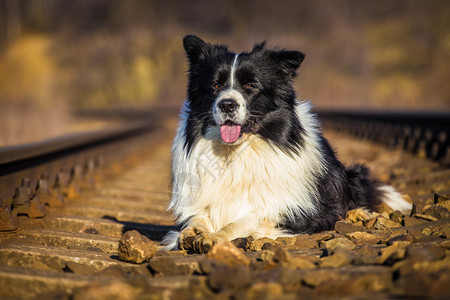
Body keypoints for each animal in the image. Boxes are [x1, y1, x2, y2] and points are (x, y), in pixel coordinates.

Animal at [163, 35, 412, 253]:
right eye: (215, 86)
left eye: (251, 85)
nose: (226, 105)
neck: (236, 152)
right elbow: (197, 218)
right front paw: (193, 232)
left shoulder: (298, 211)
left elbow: (244, 220)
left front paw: (215, 236)